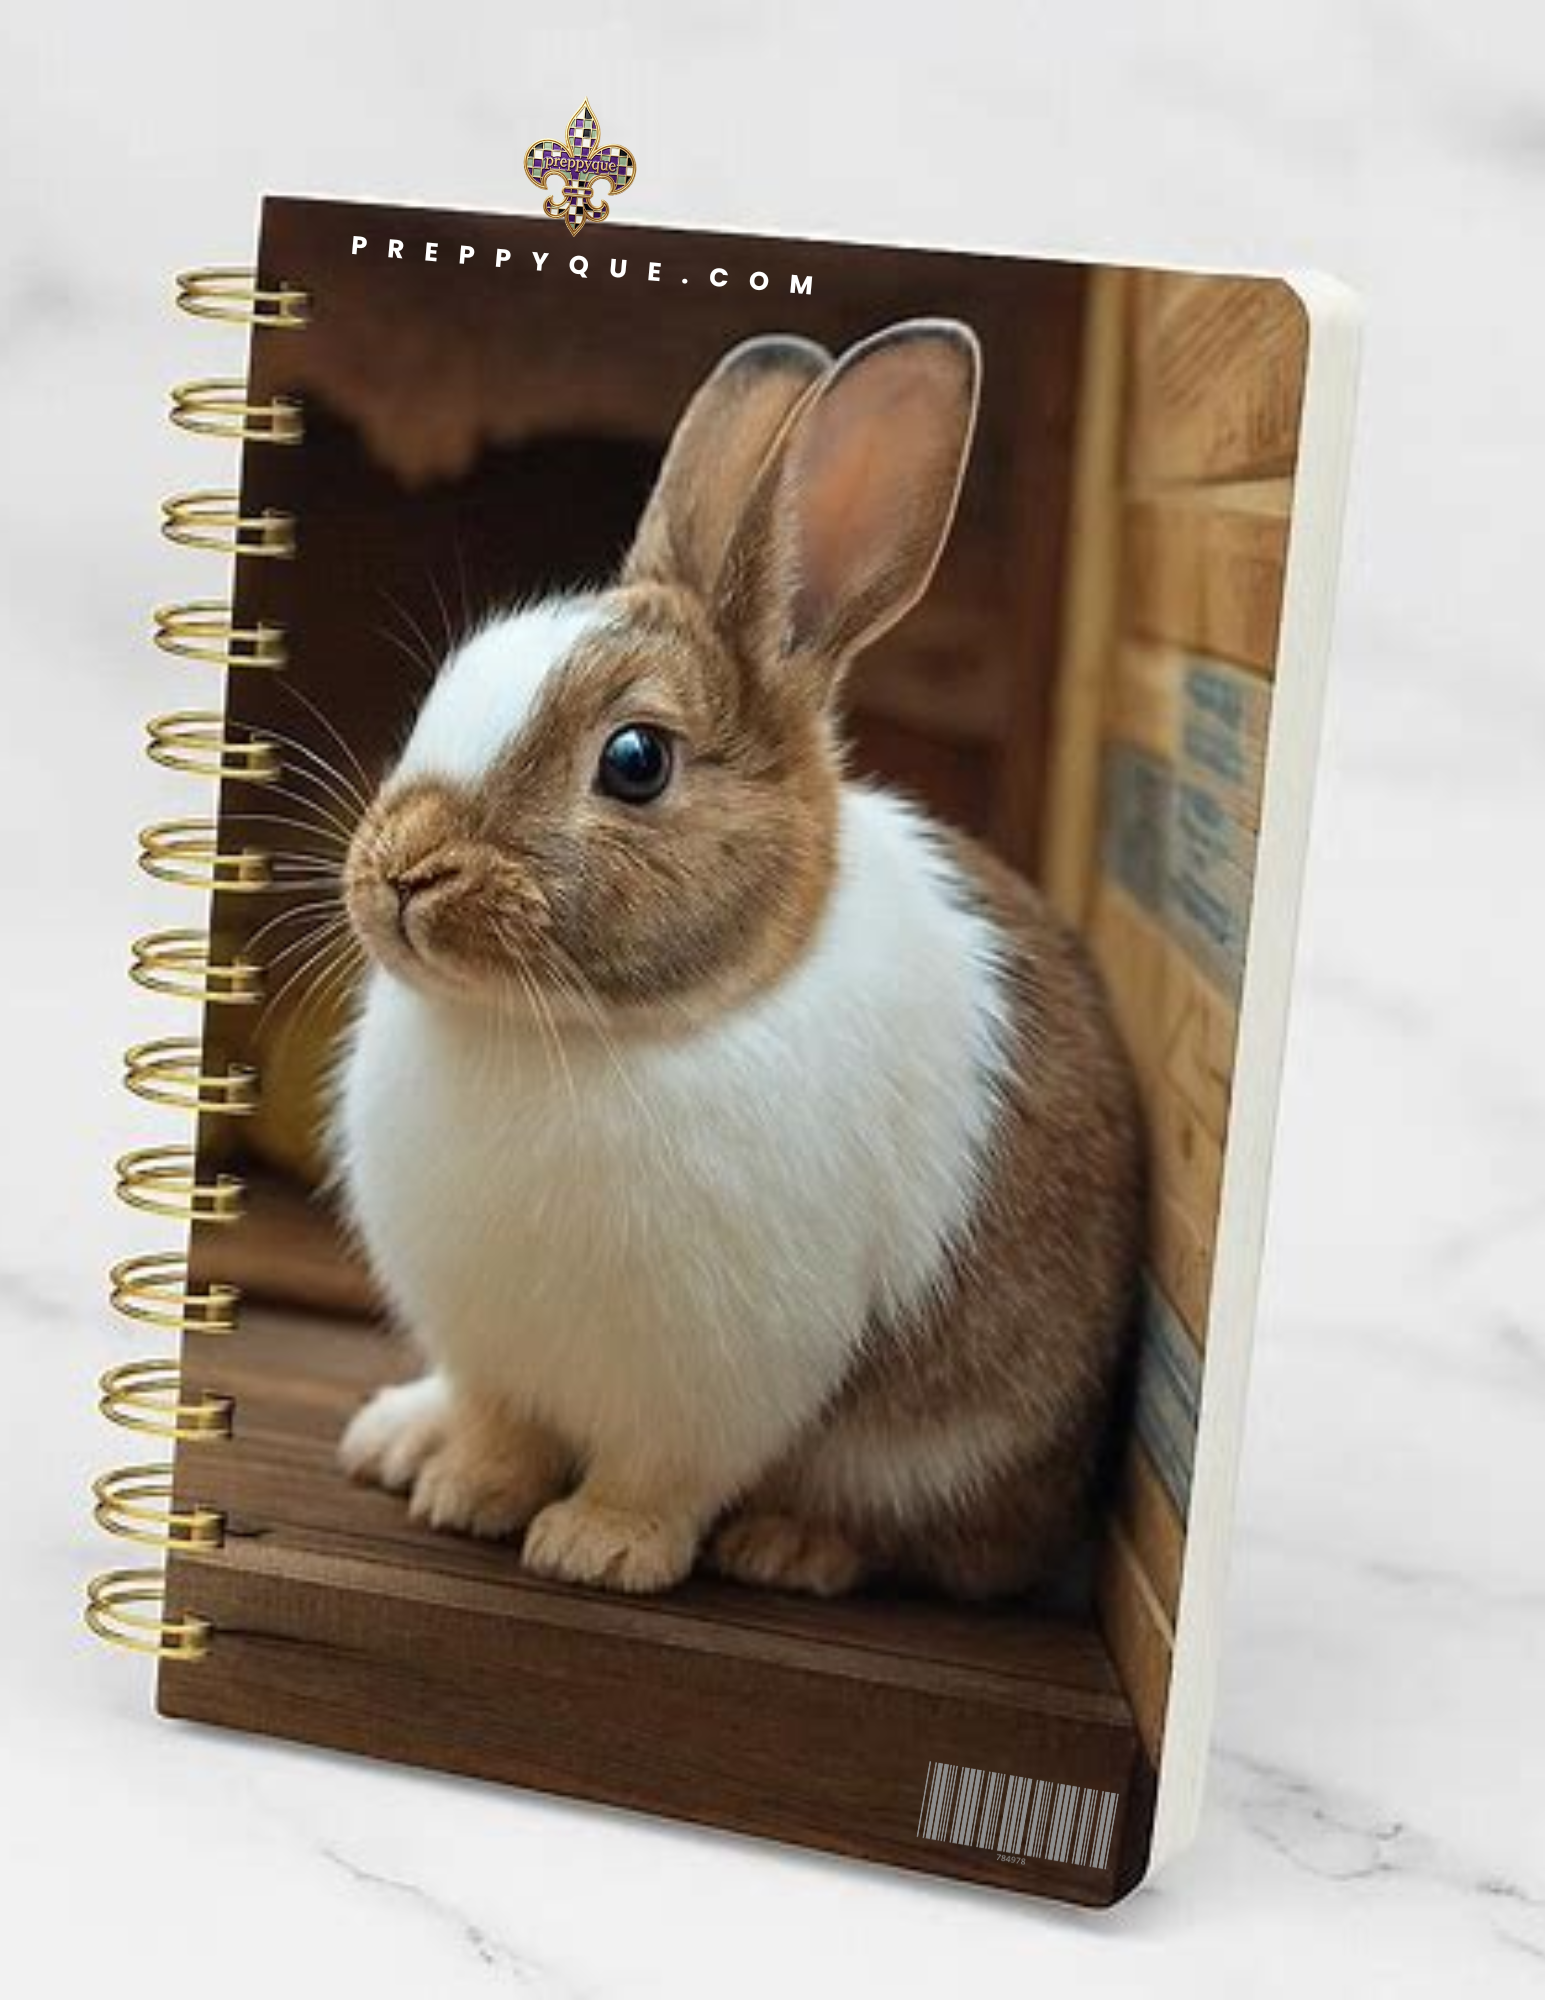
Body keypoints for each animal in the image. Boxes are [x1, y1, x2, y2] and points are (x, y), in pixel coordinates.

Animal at [334, 317, 1143, 1600]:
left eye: (635, 760)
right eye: (450, 681)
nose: (402, 870)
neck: (579, 1030)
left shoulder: (715, 1383)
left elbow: (657, 1474)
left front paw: (596, 1549)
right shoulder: (493, 1352)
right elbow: (501, 1427)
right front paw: (463, 1492)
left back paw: (792, 1544)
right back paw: (399, 1436)